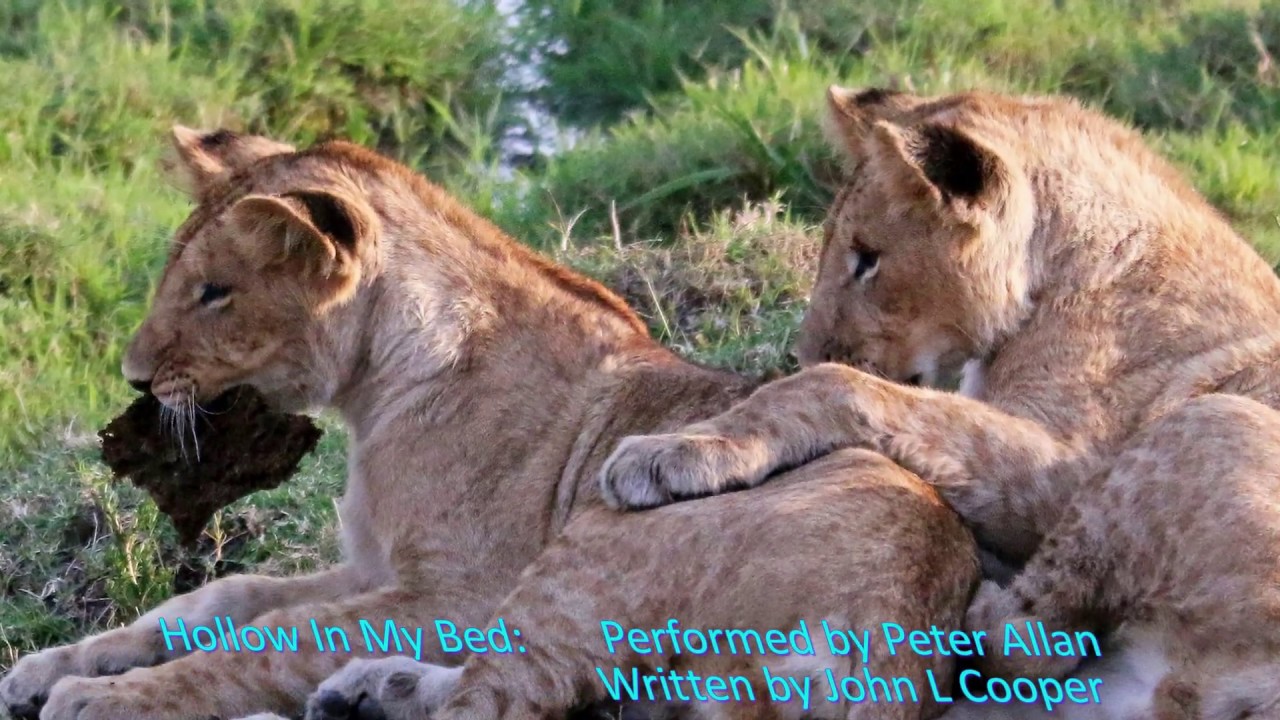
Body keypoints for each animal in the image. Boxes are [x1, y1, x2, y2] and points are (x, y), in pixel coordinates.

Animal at [0, 127, 979, 720]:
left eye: (214, 292)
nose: (132, 375)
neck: (376, 384)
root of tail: (894, 639)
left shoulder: (456, 590)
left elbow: (275, 637)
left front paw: (105, 695)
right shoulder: (377, 565)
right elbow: (220, 599)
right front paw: (50, 667)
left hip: (605, 533)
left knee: (505, 697)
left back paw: (364, 690)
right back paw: (372, 688)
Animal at [600, 87, 1280, 718]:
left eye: (867, 258)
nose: (804, 353)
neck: (1056, 265)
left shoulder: (1065, 472)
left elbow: (841, 388)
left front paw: (672, 450)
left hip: (1212, 417)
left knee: (1024, 641)